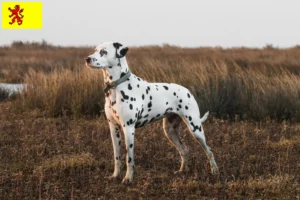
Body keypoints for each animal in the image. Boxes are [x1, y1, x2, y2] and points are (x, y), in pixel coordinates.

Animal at [84, 42, 218, 184]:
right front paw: (115, 175)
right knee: (184, 150)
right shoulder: (113, 128)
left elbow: (129, 159)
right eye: (95, 50)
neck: (117, 87)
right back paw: (182, 171)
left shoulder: (128, 129)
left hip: (195, 129)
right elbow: (117, 156)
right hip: (170, 131)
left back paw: (215, 171)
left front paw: (128, 178)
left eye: (103, 52)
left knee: (209, 151)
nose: (87, 59)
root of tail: (187, 91)